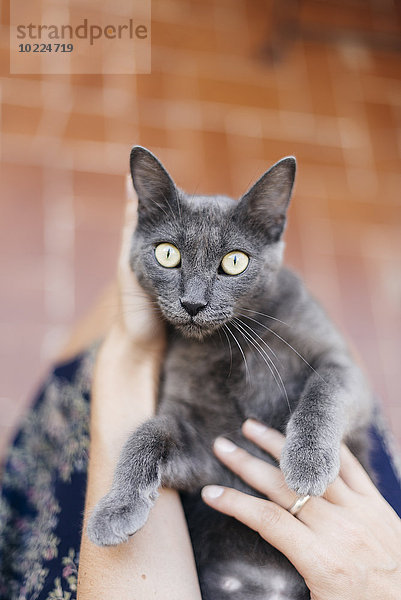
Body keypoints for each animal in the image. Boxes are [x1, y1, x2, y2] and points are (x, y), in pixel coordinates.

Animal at [86, 146, 372, 600]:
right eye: (167, 253)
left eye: (234, 262)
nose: (192, 303)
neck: (229, 346)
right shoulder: (207, 452)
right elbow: (147, 433)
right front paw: (115, 512)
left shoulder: (342, 363)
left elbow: (325, 389)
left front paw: (307, 465)